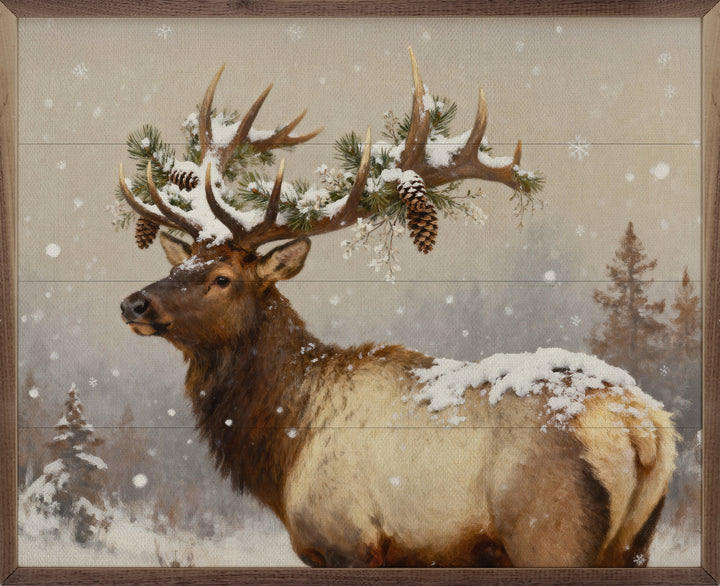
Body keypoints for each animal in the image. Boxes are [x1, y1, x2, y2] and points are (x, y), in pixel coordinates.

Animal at [118, 50, 677, 568]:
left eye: (222, 279)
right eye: (183, 263)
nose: (134, 302)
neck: (285, 444)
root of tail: (646, 430)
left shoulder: (346, 539)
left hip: (549, 532)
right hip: (636, 543)